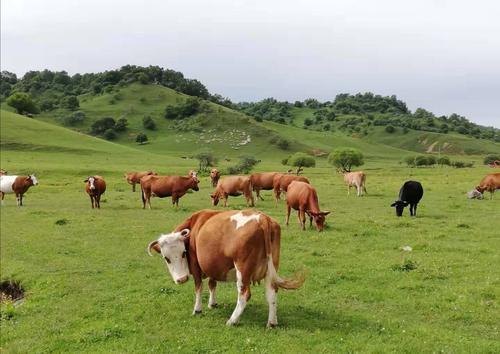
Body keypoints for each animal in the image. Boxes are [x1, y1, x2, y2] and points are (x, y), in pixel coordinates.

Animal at [146, 209, 304, 328]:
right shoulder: (212, 265)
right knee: (272, 292)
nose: (182, 279)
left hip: (243, 269)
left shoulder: (196, 266)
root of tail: (262, 218)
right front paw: (212, 303)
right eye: (166, 258)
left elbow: (198, 287)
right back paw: (272, 322)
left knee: (244, 294)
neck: (195, 225)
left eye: (184, 253)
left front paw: (197, 309)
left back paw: (232, 320)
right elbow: (212, 284)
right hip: (271, 269)